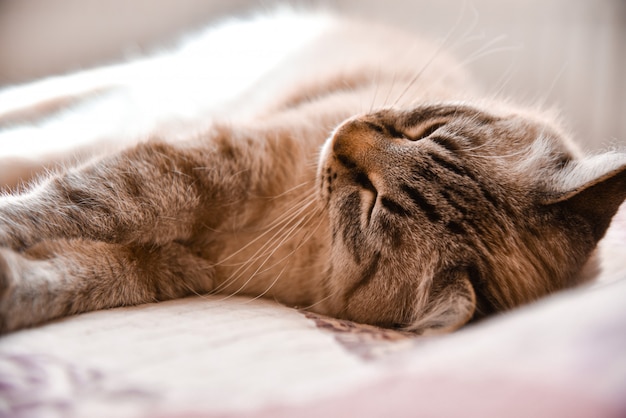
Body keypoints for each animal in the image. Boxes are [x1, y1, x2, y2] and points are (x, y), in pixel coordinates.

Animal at [1, 11, 624, 334]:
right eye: (426, 132)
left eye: (374, 204)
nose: (345, 135)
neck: (311, 242)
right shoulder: (208, 161)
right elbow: (74, 203)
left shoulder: (173, 267)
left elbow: (72, 276)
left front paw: (14, 284)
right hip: (118, 106)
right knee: (35, 125)